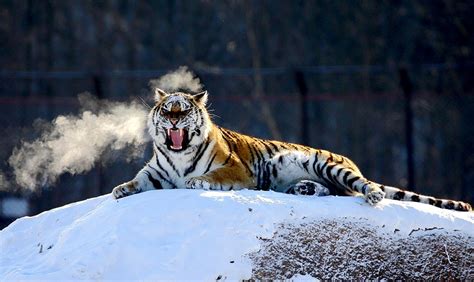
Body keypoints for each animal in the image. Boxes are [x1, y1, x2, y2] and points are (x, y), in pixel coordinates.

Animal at [110, 88, 470, 212]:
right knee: (336, 192)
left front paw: (196, 181)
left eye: (183, 110)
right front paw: (119, 189)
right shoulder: (156, 173)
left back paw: (373, 196)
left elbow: (212, 176)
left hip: (331, 165)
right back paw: (304, 190)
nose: (173, 120)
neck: (178, 153)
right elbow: (137, 182)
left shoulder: (236, 168)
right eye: (167, 109)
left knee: (359, 187)